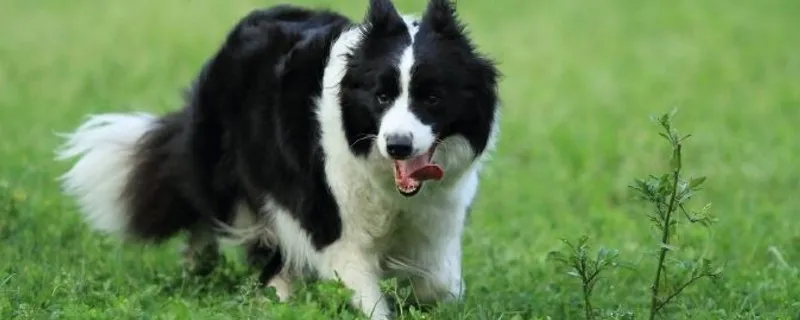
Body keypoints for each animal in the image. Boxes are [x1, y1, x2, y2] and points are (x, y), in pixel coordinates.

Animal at [56, 0, 496, 318]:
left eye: (432, 97)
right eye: (382, 96)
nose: (399, 146)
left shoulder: (436, 224)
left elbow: (439, 283)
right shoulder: (334, 223)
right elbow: (365, 293)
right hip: (225, 173)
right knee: (207, 214)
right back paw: (206, 270)